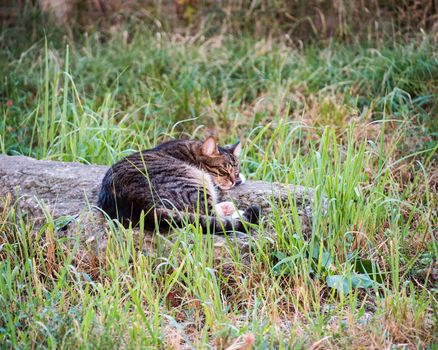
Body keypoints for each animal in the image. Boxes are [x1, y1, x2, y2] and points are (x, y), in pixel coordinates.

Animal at [97, 137, 260, 232]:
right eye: (224, 171)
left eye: (236, 170)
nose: (233, 180)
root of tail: (144, 206)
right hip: (194, 180)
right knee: (209, 213)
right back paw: (233, 209)